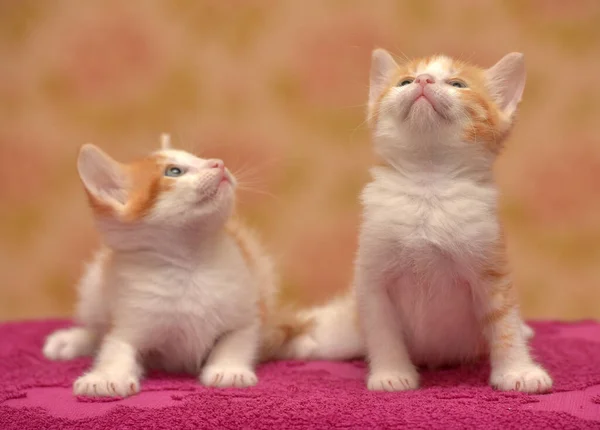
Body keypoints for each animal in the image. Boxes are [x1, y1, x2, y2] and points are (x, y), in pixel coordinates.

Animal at [43, 134, 280, 396]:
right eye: (174, 171)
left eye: (199, 158)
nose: (218, 163)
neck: (191, 264)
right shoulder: (132, 314)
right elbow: (115, 344)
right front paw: (106, 376)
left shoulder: (248, 306)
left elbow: (237, 339)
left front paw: (229, 369)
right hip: (94, 287)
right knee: (97, 329)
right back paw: (71, 340)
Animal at [274, 49, 552, 394]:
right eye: (404, 82)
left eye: (458, 84)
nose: (423, 80)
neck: (427, 184)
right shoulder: (372, 276)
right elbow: (383, 330)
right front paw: (391, 373)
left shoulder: (491, 269)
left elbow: (505, 324)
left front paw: (518, 371)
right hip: (343, 333)